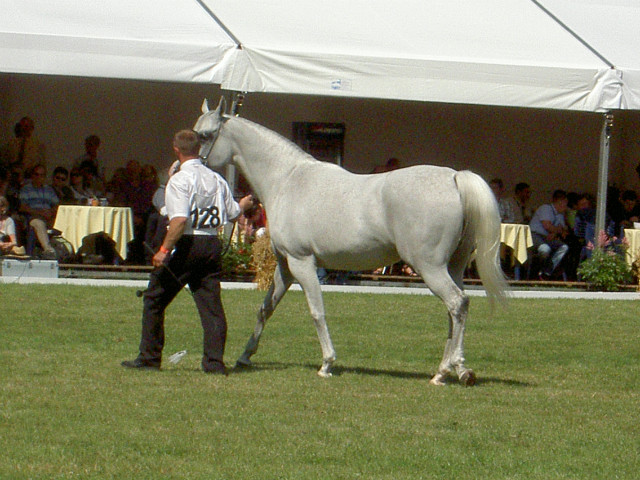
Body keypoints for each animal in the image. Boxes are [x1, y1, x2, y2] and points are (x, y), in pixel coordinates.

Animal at [192, 97, 508, 386]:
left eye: (205, 135)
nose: (194, 166)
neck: (287, 180)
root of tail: (454, 178)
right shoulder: (285, 266)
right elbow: (265, 309)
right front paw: (245, 356)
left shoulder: (302, 263)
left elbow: (317, 311)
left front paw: (327, 363)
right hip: (453, 267)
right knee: (456, 309)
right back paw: (459, 368)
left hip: (429, 267)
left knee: (456, 303)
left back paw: (444, 372)